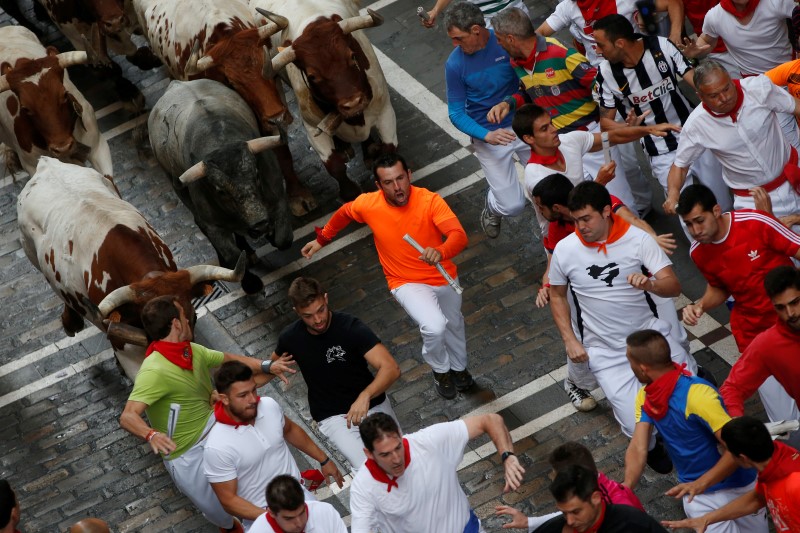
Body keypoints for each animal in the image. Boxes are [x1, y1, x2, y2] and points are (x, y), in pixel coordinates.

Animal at [17, 157, 244, 378]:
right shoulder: (125, 348)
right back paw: (70, 322)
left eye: (195, 318)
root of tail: (45, 162)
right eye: (153, 330)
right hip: (30, 253)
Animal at [148, 79, 292, 296]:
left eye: (257, 175)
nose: (260, 224)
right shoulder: (213, 225)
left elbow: (283, 238)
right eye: (220, 191)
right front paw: (251, 283)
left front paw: (271, 236)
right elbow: (232, 257)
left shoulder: (278, 198)